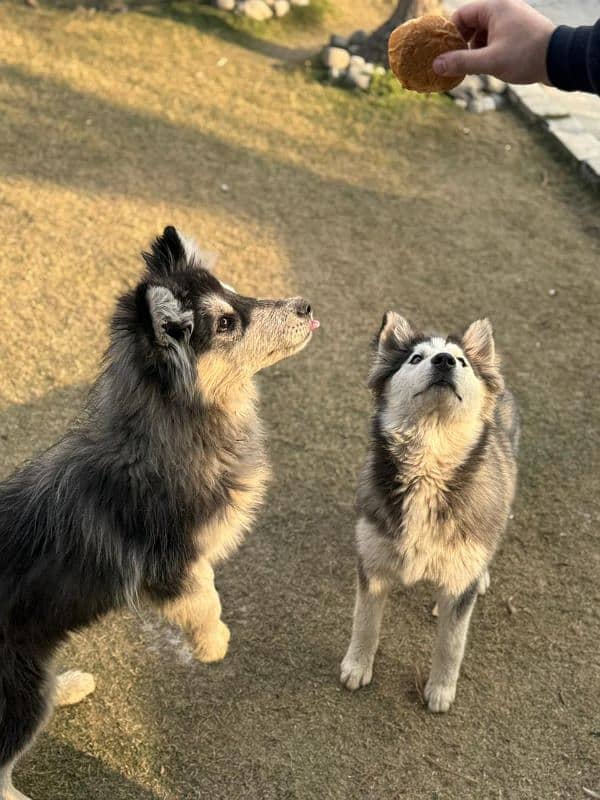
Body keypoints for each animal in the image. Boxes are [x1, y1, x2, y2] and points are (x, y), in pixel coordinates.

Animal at [0, 227, 318, 800]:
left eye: (236, 292)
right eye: (226, 323)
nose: (306, 305)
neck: (174, 430)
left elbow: (208, 580)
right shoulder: (166, 565)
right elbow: (204, 598)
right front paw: (213, 645)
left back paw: (68, 685)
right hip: (16, 695)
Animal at [340, 310, 516, 712]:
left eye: (462, 362)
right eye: (415, 358)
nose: (445, 360)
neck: (427, 464)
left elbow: (451, 644)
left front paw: (440, 690)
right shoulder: (371, 563)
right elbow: (365, 623)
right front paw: (357, 666)